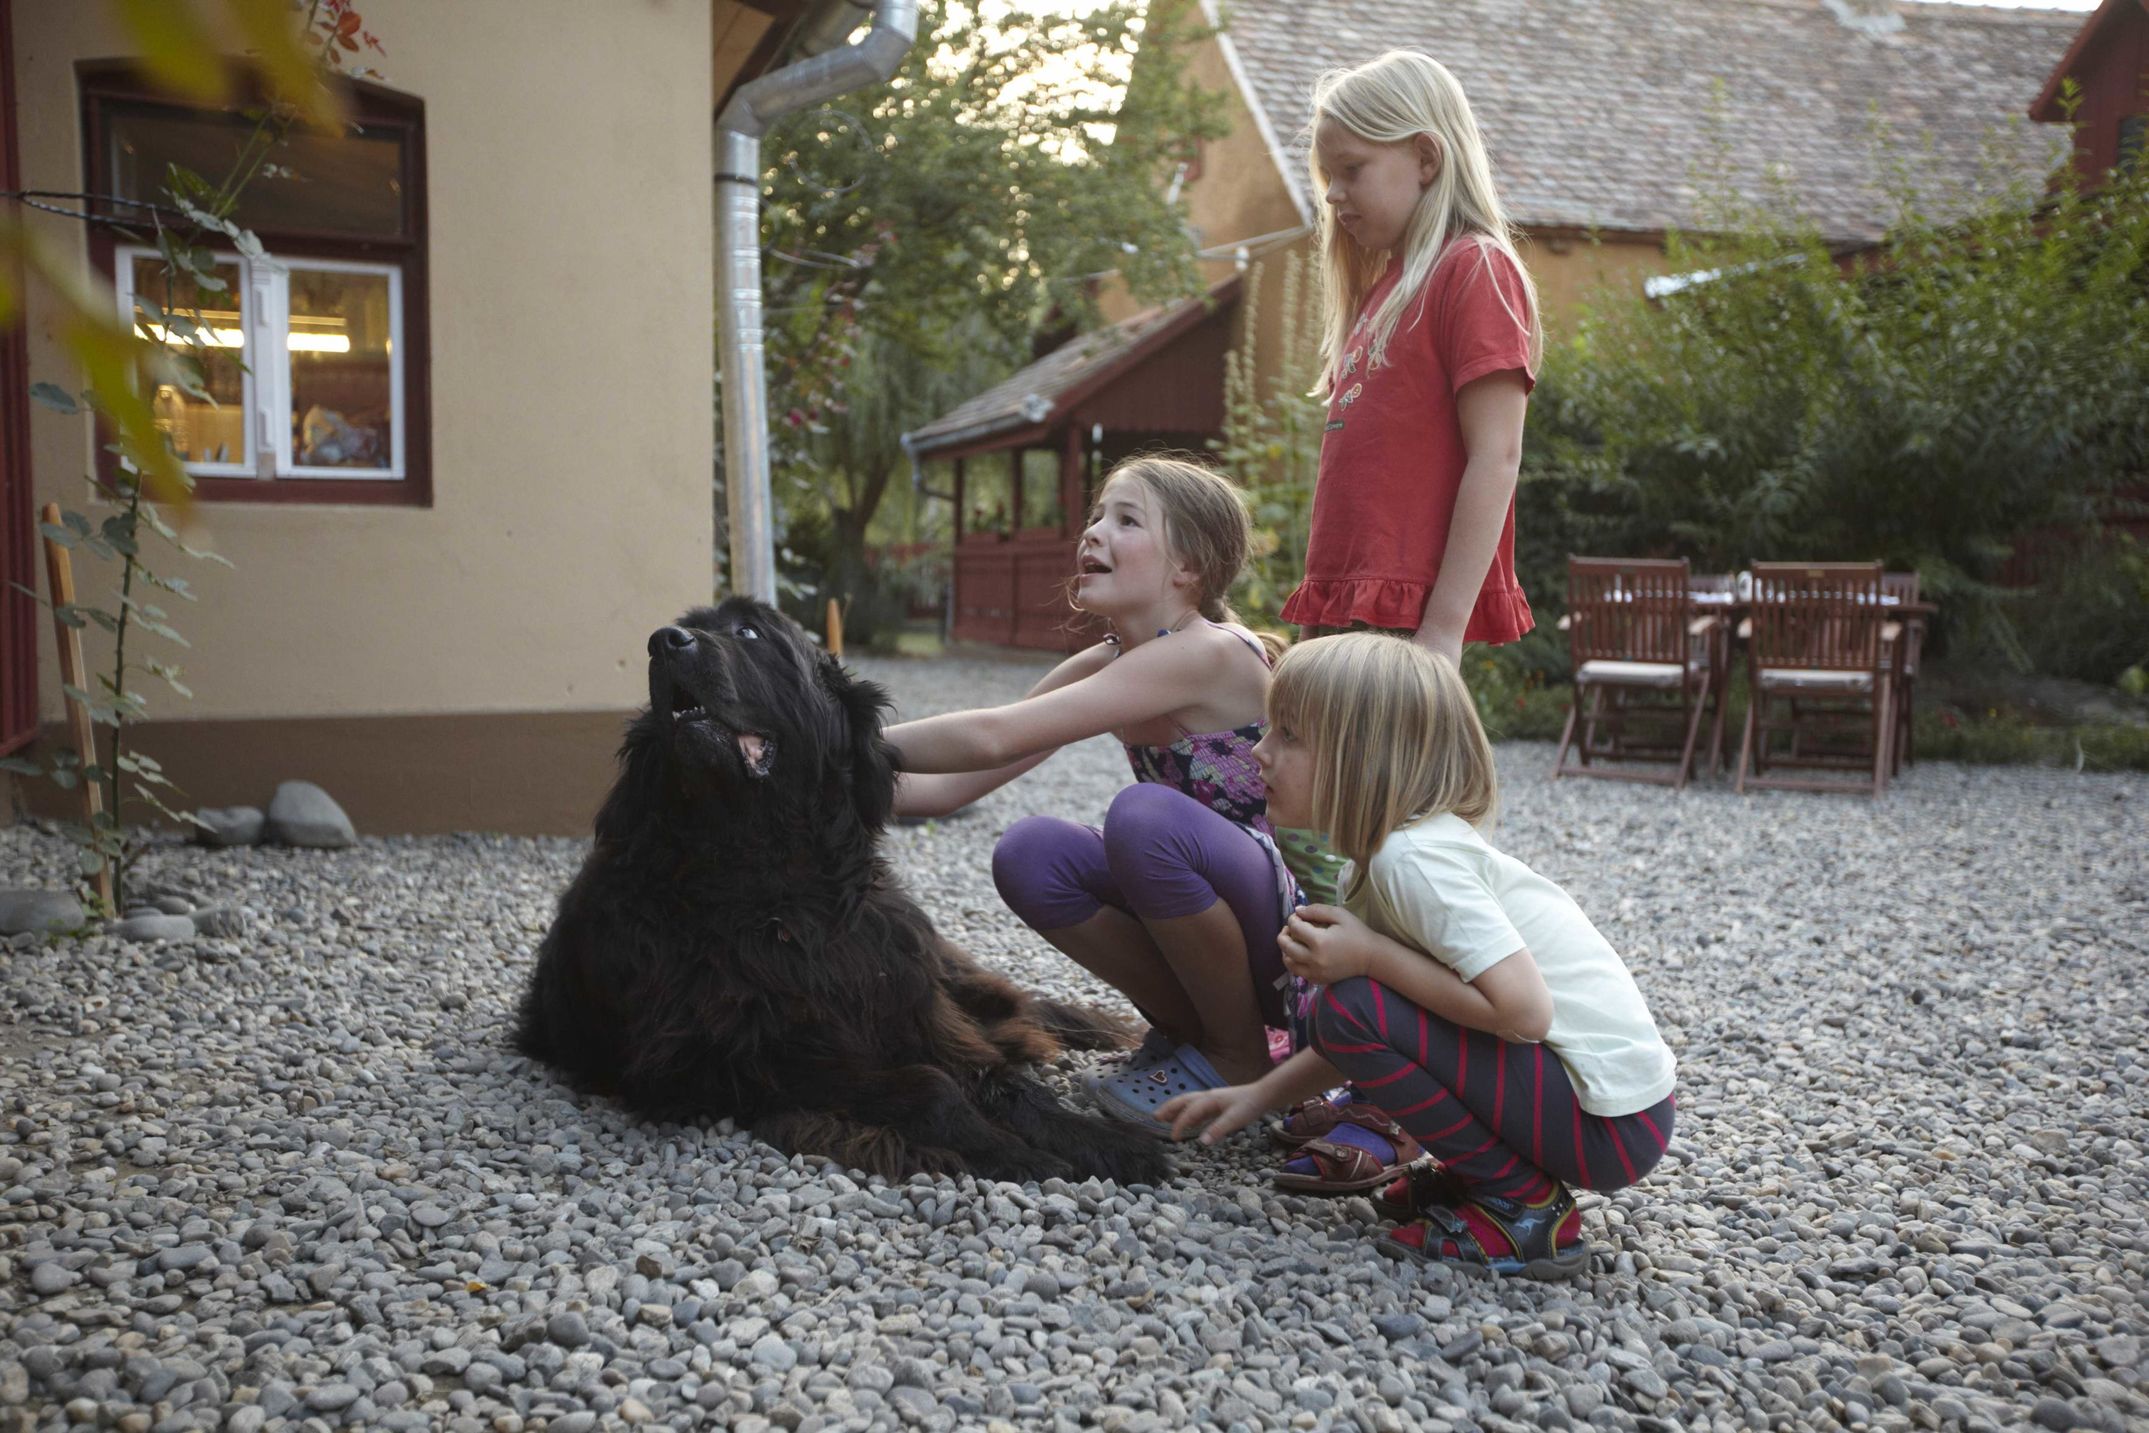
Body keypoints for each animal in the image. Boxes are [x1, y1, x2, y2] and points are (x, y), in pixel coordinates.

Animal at [509, 597, 1169, 1185]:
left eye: (749, 633)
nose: (662, 640)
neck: (775, 887)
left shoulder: (909, 1003)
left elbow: (1000, 1079)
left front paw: (1098, 1140)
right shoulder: (725, 1057)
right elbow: (930, 1087)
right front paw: (1012, 1153)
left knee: (1016, 1007)